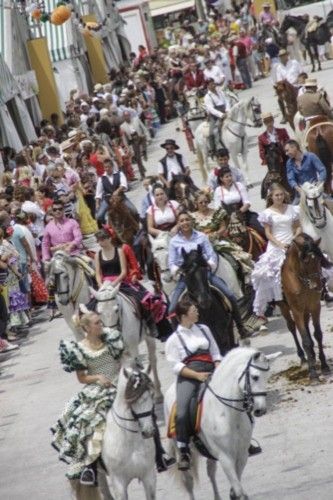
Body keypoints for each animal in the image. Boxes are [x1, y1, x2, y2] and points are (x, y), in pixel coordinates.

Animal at [164, 348, 278, 500]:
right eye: (255, 377)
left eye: (267, 377)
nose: (261, 410)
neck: (228, 414)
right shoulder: (225, 457)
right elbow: (239, 490)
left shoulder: (242, 454)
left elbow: (236, 486)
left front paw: (232, 494)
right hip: (180, 450)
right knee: (188, 481)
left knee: (211, 472)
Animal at [278, 233, 330, 378]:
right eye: (305, 261)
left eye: (319, 259)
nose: (318, 285)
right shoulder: (297, 311)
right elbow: (305, 339)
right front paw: (313, 373)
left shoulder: (315, 307)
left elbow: (318, 334)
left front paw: (324, 365)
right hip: (284, 308)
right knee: (292, 327)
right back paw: (303, 359)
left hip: (306, 310)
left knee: (306, 326)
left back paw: (312, 355)